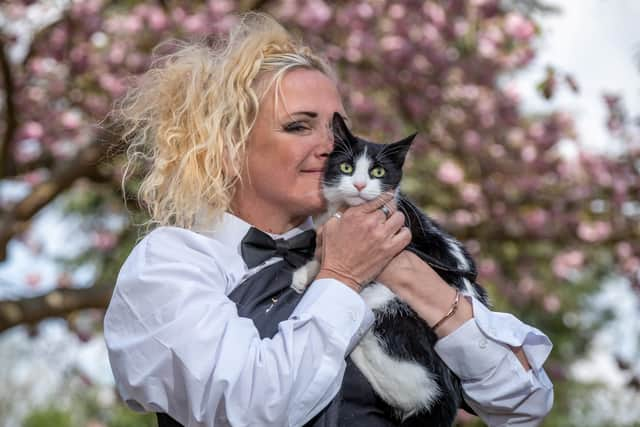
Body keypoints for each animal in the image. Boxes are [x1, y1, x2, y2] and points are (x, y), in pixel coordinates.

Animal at [292, 113, 488, 427]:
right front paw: (306, 272)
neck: (345, 213)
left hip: (386, 304)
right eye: (346, 167)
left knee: (415, 387)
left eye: (378, 172)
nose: (360, 185)